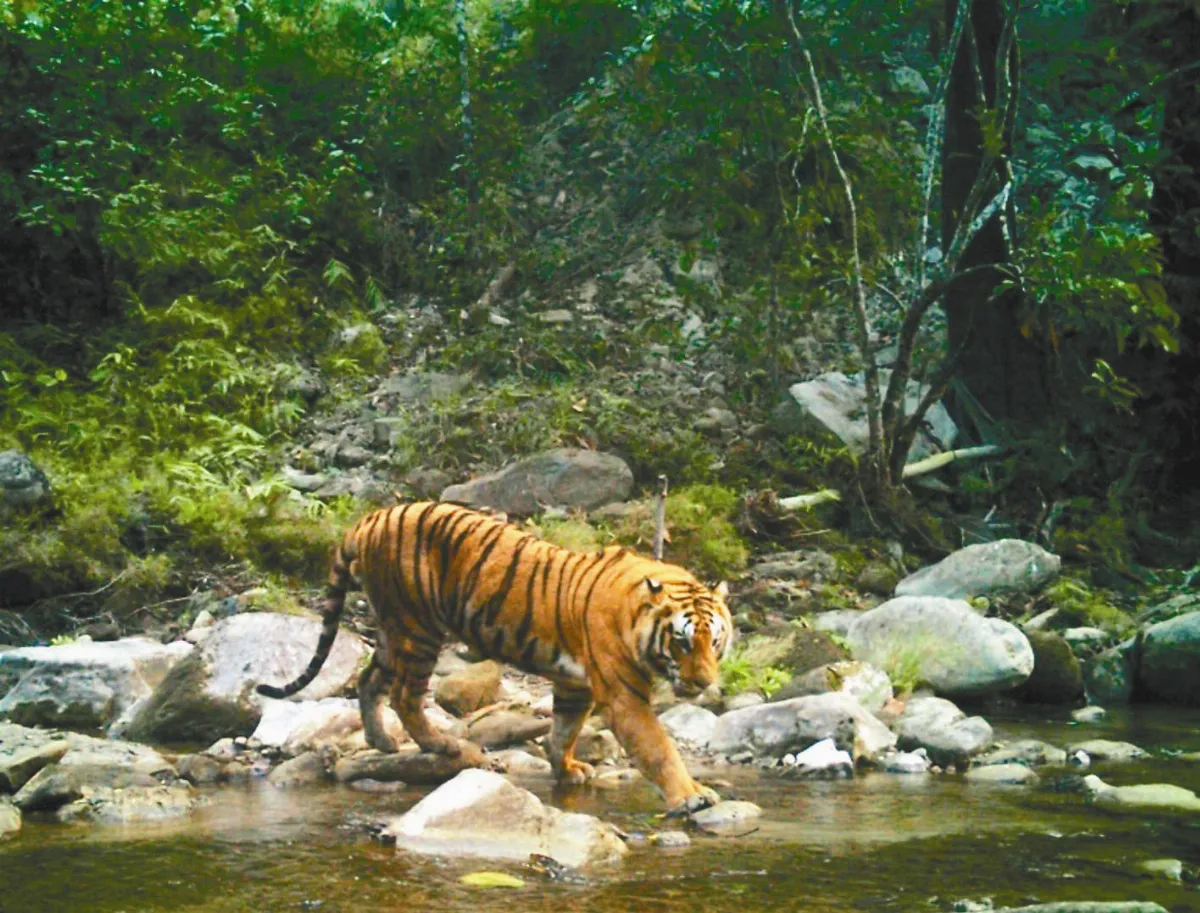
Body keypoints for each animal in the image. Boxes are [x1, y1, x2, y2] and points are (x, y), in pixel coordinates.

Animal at [256, 500, 733, 812]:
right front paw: (692, 796)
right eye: (682, 642)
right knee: (405, 697)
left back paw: (381, 741)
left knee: (369, 680)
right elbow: (658, 748)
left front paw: (568, 768)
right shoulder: (623, 695)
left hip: (393, 630)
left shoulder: (575, 684)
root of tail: (371, 518)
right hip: (418, 628)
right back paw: (442, 745)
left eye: (714, 642)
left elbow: (564, 730)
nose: (705, 684)